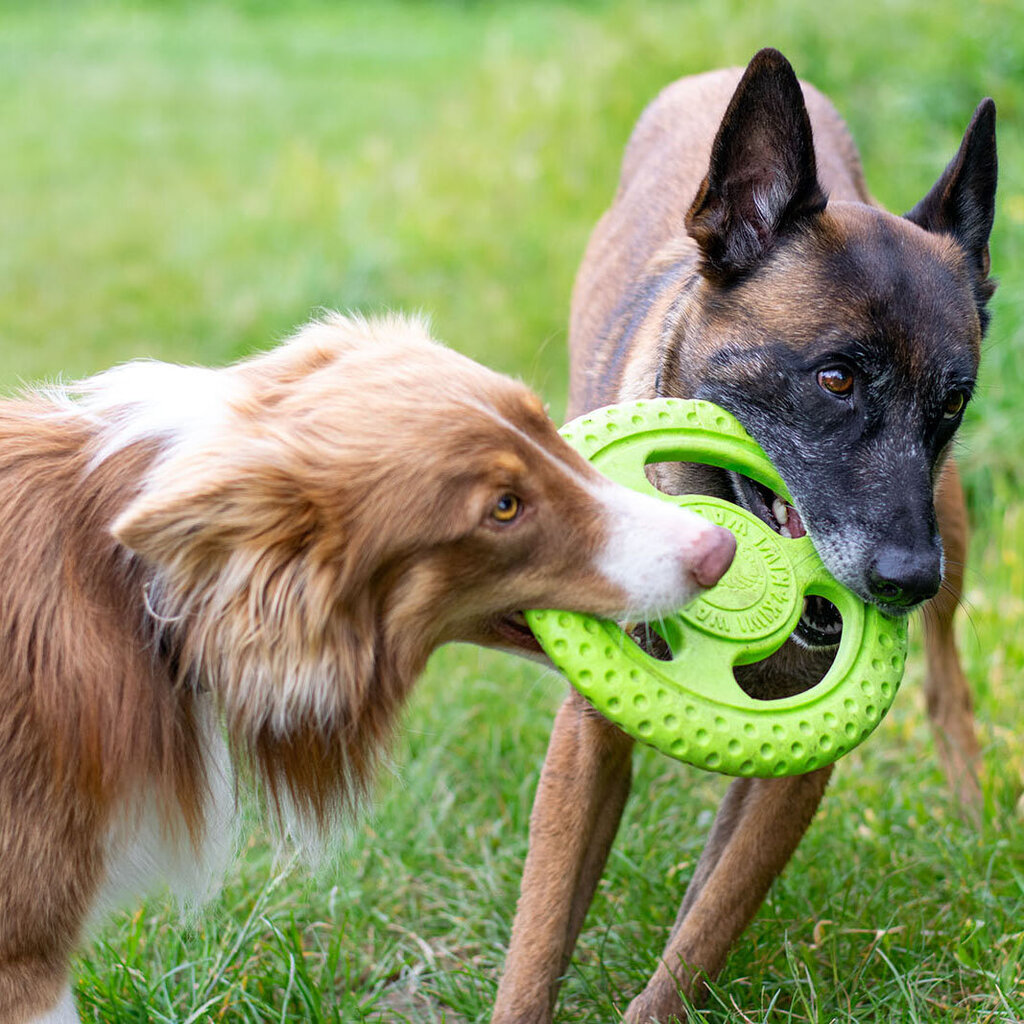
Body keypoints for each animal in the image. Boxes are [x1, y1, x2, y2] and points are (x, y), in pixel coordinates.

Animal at [491, 49, 995, 1024]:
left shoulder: (800, 769)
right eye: (836, 379)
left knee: (949, 687)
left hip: (952, 525)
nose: (907, 579)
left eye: (953, 404)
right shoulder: (587, 737)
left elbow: (706, 929)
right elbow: (538, 940)